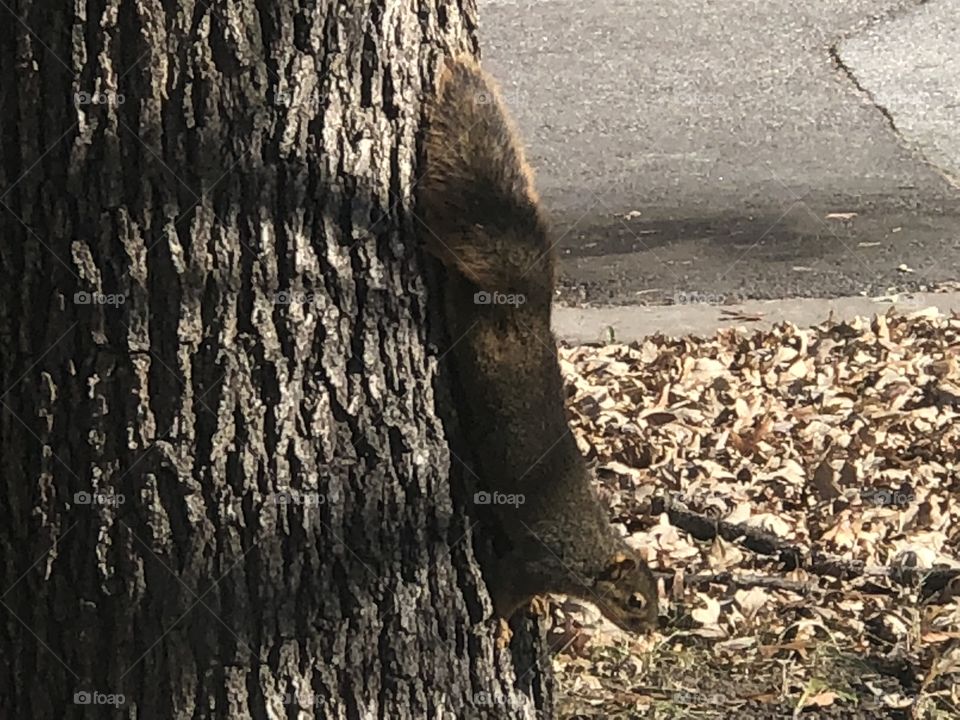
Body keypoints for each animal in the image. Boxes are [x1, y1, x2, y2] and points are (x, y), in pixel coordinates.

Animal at [418, 56, 658, 635]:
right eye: (635, 601)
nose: (650, 631)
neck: (591, 554)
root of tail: (528, 300)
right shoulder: (541, 563)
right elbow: (506, 587)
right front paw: (504, 626)